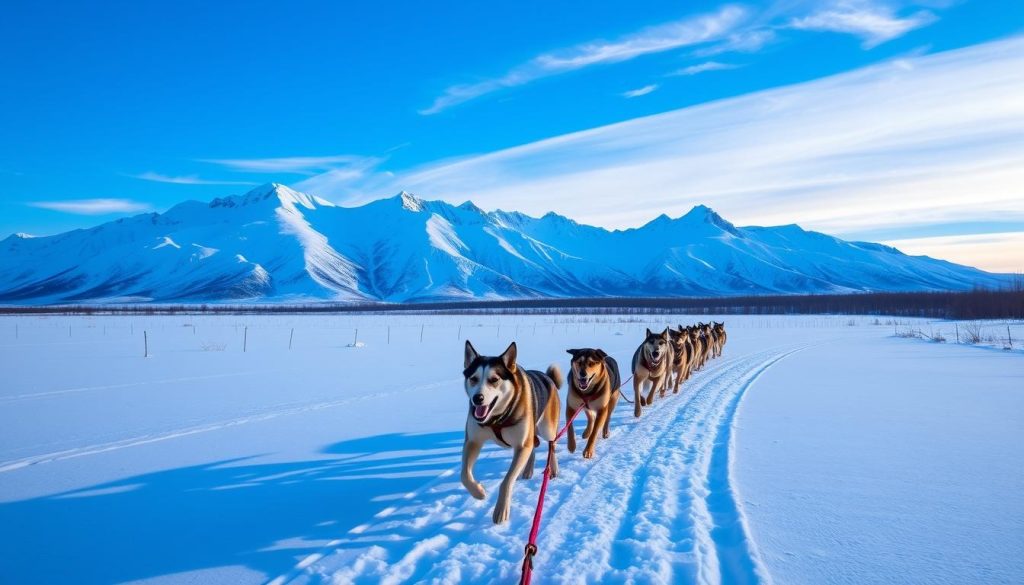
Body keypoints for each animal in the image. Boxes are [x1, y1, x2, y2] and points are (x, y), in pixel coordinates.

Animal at [462, 340, 561, 524]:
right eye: (473, 379)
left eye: (494, 379)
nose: (477, 398)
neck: (497, 419)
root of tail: (548, 377)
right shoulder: (473, 441)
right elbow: (464, 474)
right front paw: (478, 491)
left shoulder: (521, 445)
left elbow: (507, 480)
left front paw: (501, 510)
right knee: (533, 446)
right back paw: (528, 470)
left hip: (547, 428)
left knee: (552, 444)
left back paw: (553, 468)